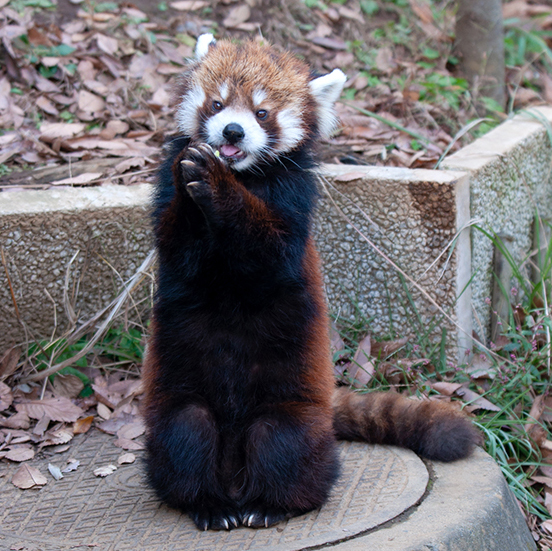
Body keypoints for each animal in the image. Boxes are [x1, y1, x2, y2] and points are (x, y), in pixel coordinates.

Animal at [143, 33, 478, 532]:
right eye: (217, 103)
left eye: (262, 112)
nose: (232, 132)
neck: (245, 174)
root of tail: (234, 479)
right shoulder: (170, 215)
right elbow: (179, 245)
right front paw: (192, 174)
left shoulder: (292, 200)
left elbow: (268, 254)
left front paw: (216, 185)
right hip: (181, 410)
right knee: (186, 435)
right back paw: (210, 505)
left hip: (291, 413)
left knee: (284, 445)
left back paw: (270, 505)